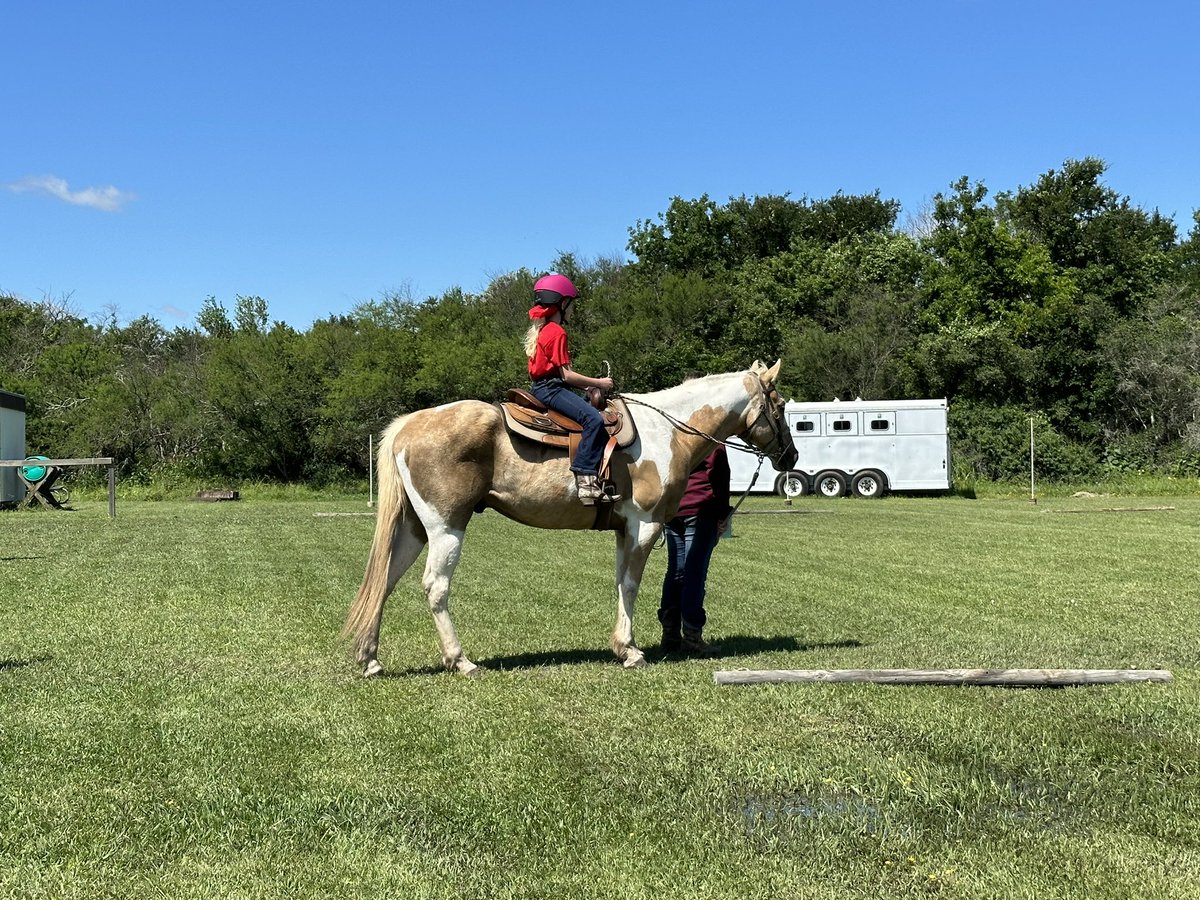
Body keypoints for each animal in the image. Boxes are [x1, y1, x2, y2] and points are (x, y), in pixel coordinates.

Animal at [343, 359, 798, 676]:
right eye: (779, 406)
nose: (791, 457)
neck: (667, 432)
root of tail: (409, 424)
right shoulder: (645, 525)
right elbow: (631, 585)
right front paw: (631, 651)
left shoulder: (625, 530)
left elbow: (620, 583)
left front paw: (622, 645)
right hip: (446, 528)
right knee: (435, 587)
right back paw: (461, 660)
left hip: (414, 529)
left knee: (384, 581)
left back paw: (370, 659)